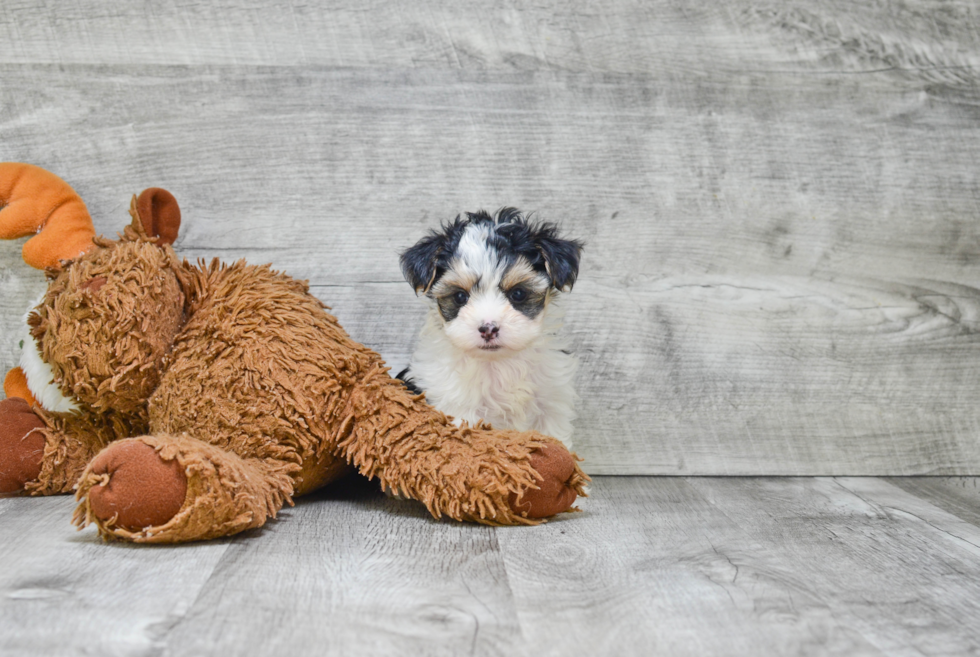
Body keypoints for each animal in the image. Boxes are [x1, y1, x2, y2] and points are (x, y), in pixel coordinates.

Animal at [398, 208, 580, 448]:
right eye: (460, 297)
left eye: (518, 294)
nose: (488, 328)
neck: (499, 363)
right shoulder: (458, 408)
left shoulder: (551, 403)